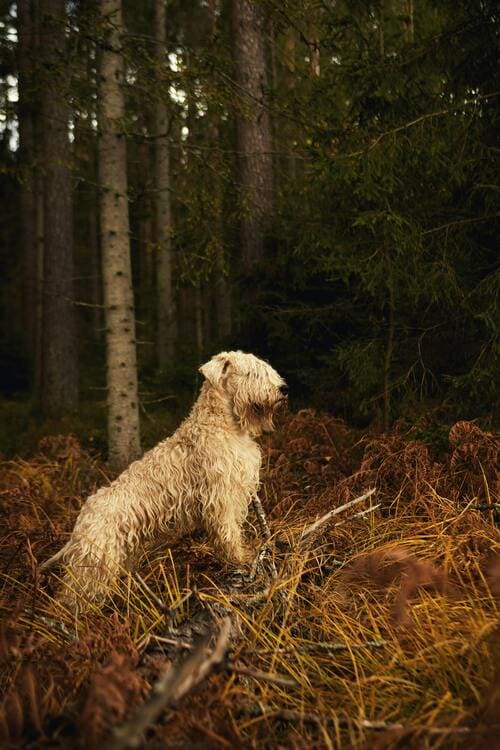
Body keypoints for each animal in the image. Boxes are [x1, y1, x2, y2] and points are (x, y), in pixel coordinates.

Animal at [41, 352, 288, 604]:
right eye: (251, 373)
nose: (284, 388)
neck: (223, 424)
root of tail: (81, 519)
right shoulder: (221, 497)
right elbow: (228, 532)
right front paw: (241, 558)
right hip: (96, 560)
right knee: (74, 593)